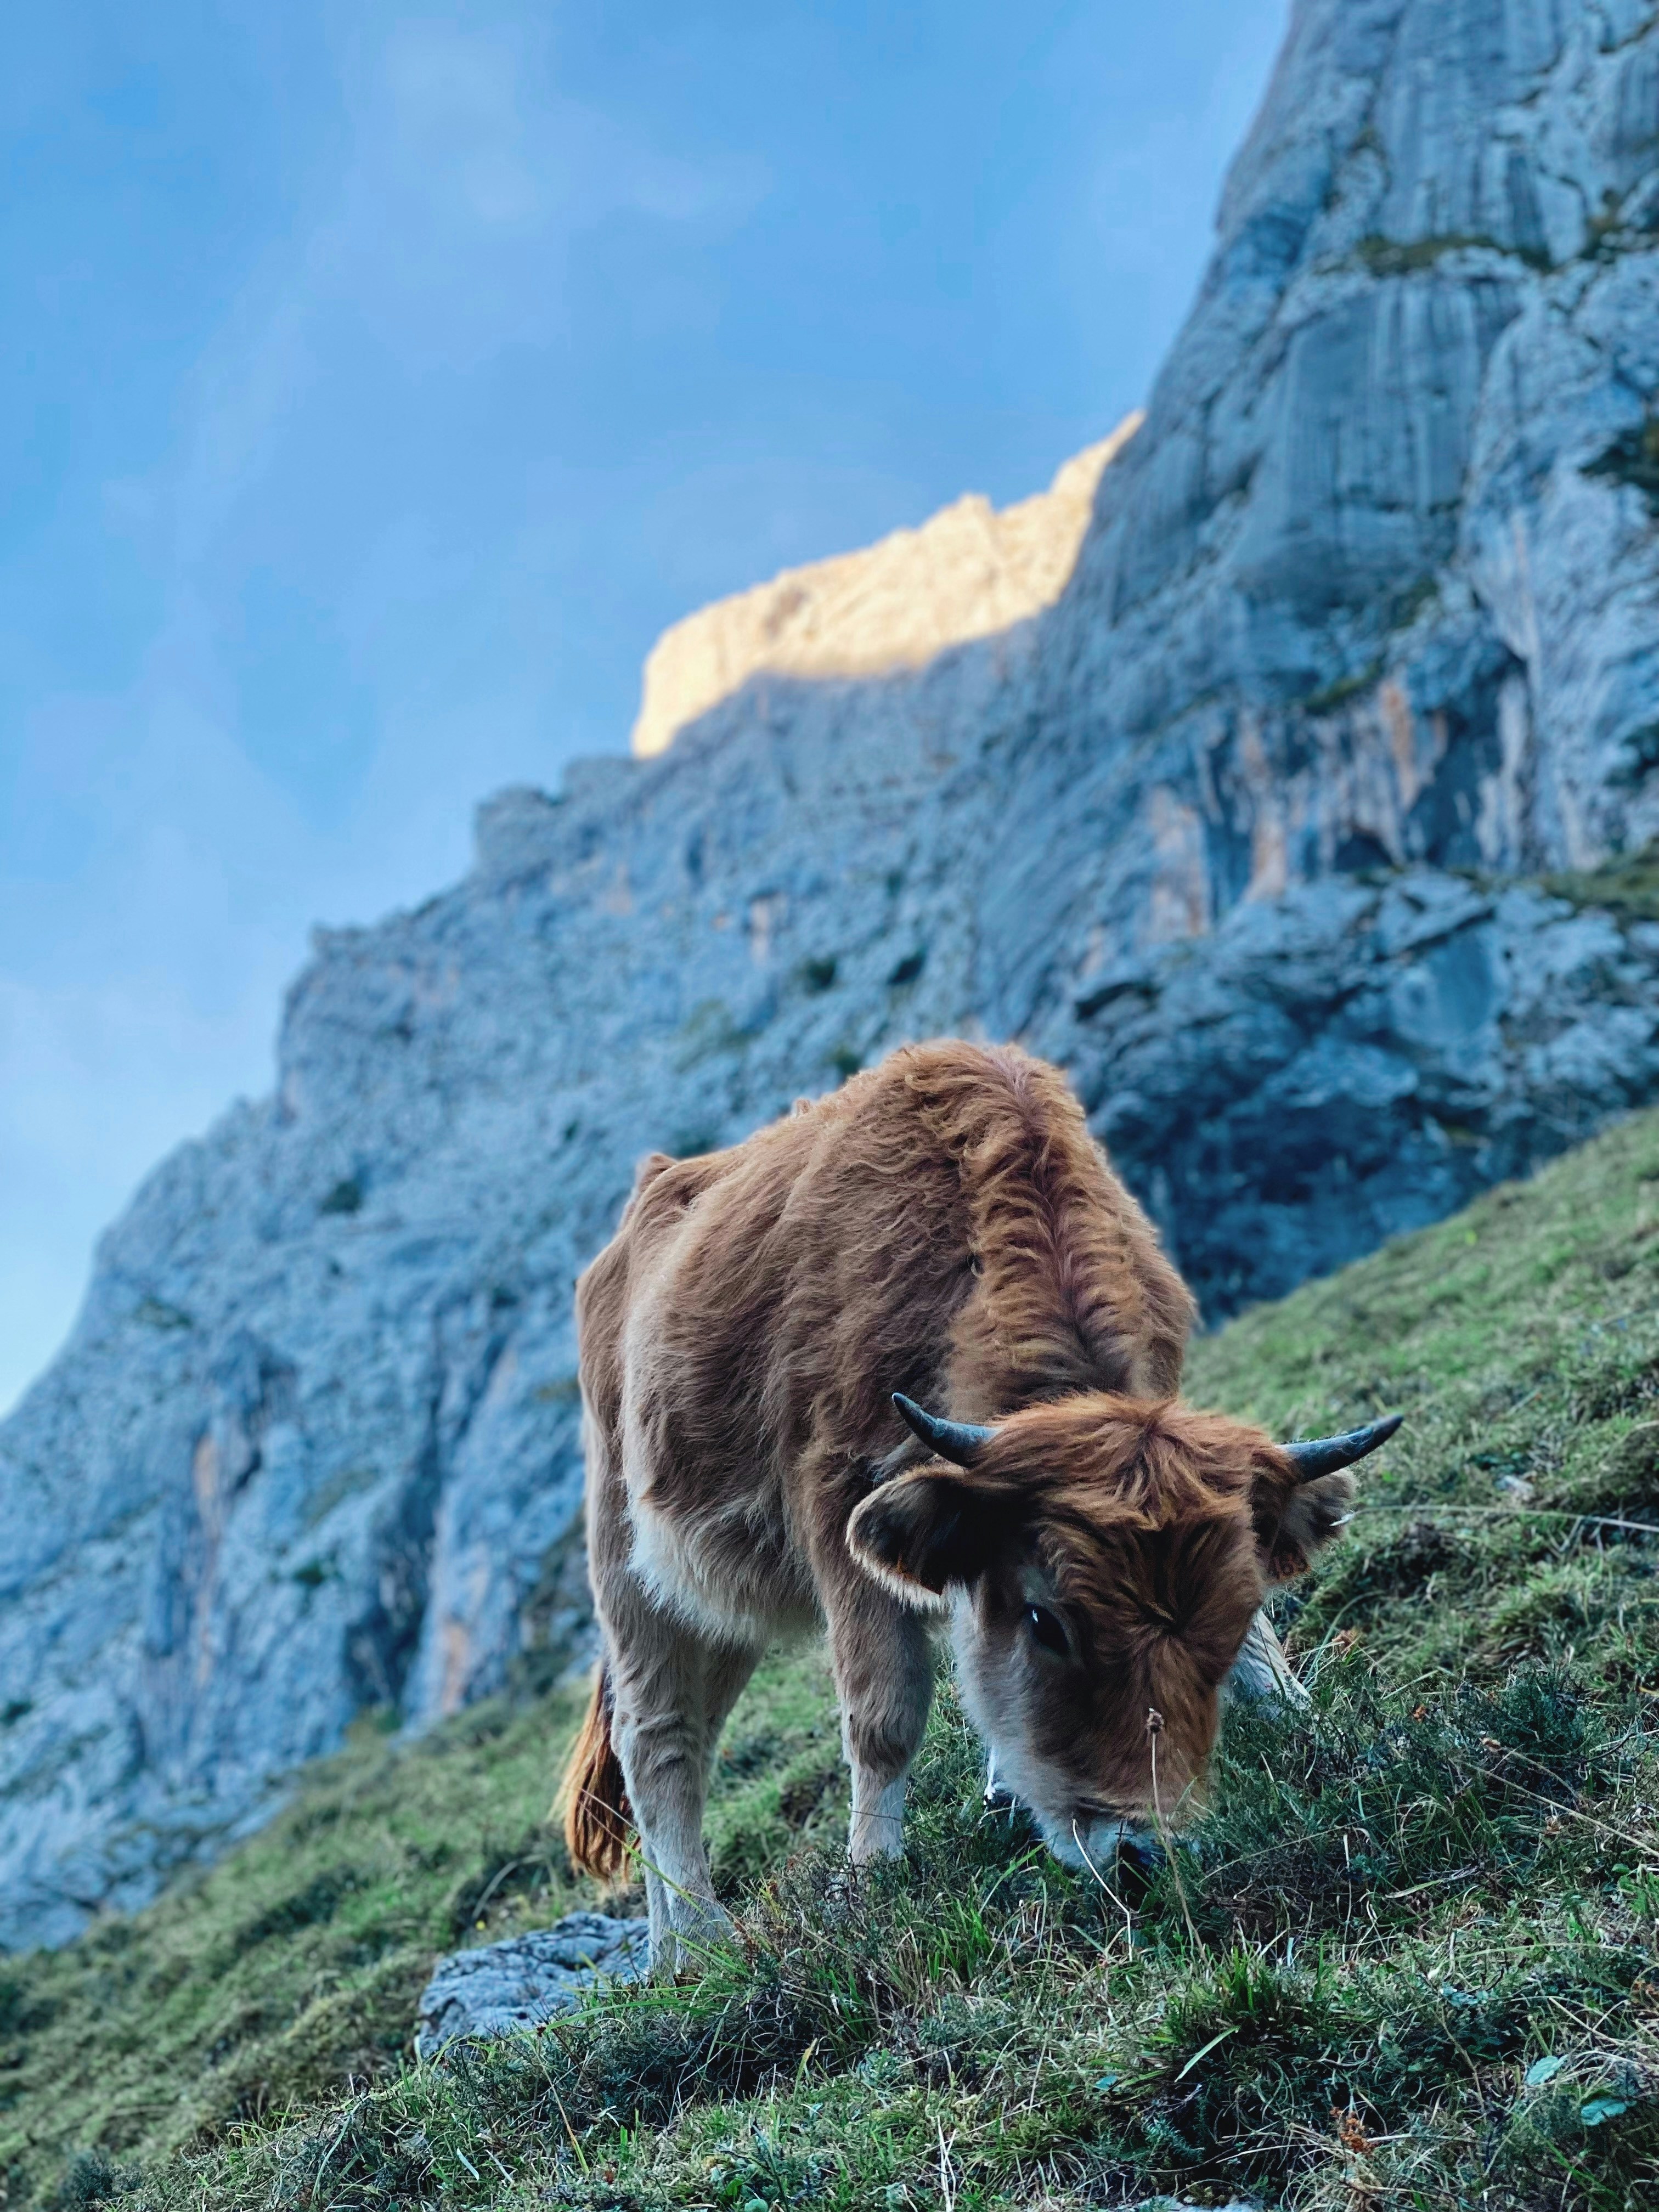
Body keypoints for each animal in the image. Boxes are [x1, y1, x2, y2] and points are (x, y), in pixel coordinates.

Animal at [561, 1040, 1397, 1966]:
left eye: (1229, 1613)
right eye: (1046, 1620)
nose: (1144, 1852)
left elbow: (1258, 1654)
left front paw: (1316, 1731)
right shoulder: (838, 1503)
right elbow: (885, 1711)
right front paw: (871, 1878)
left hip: (720, 1611)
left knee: (694, 1737)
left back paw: (669, 1940)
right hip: (631, 1563)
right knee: (657, 1738)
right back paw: (697, 1943)